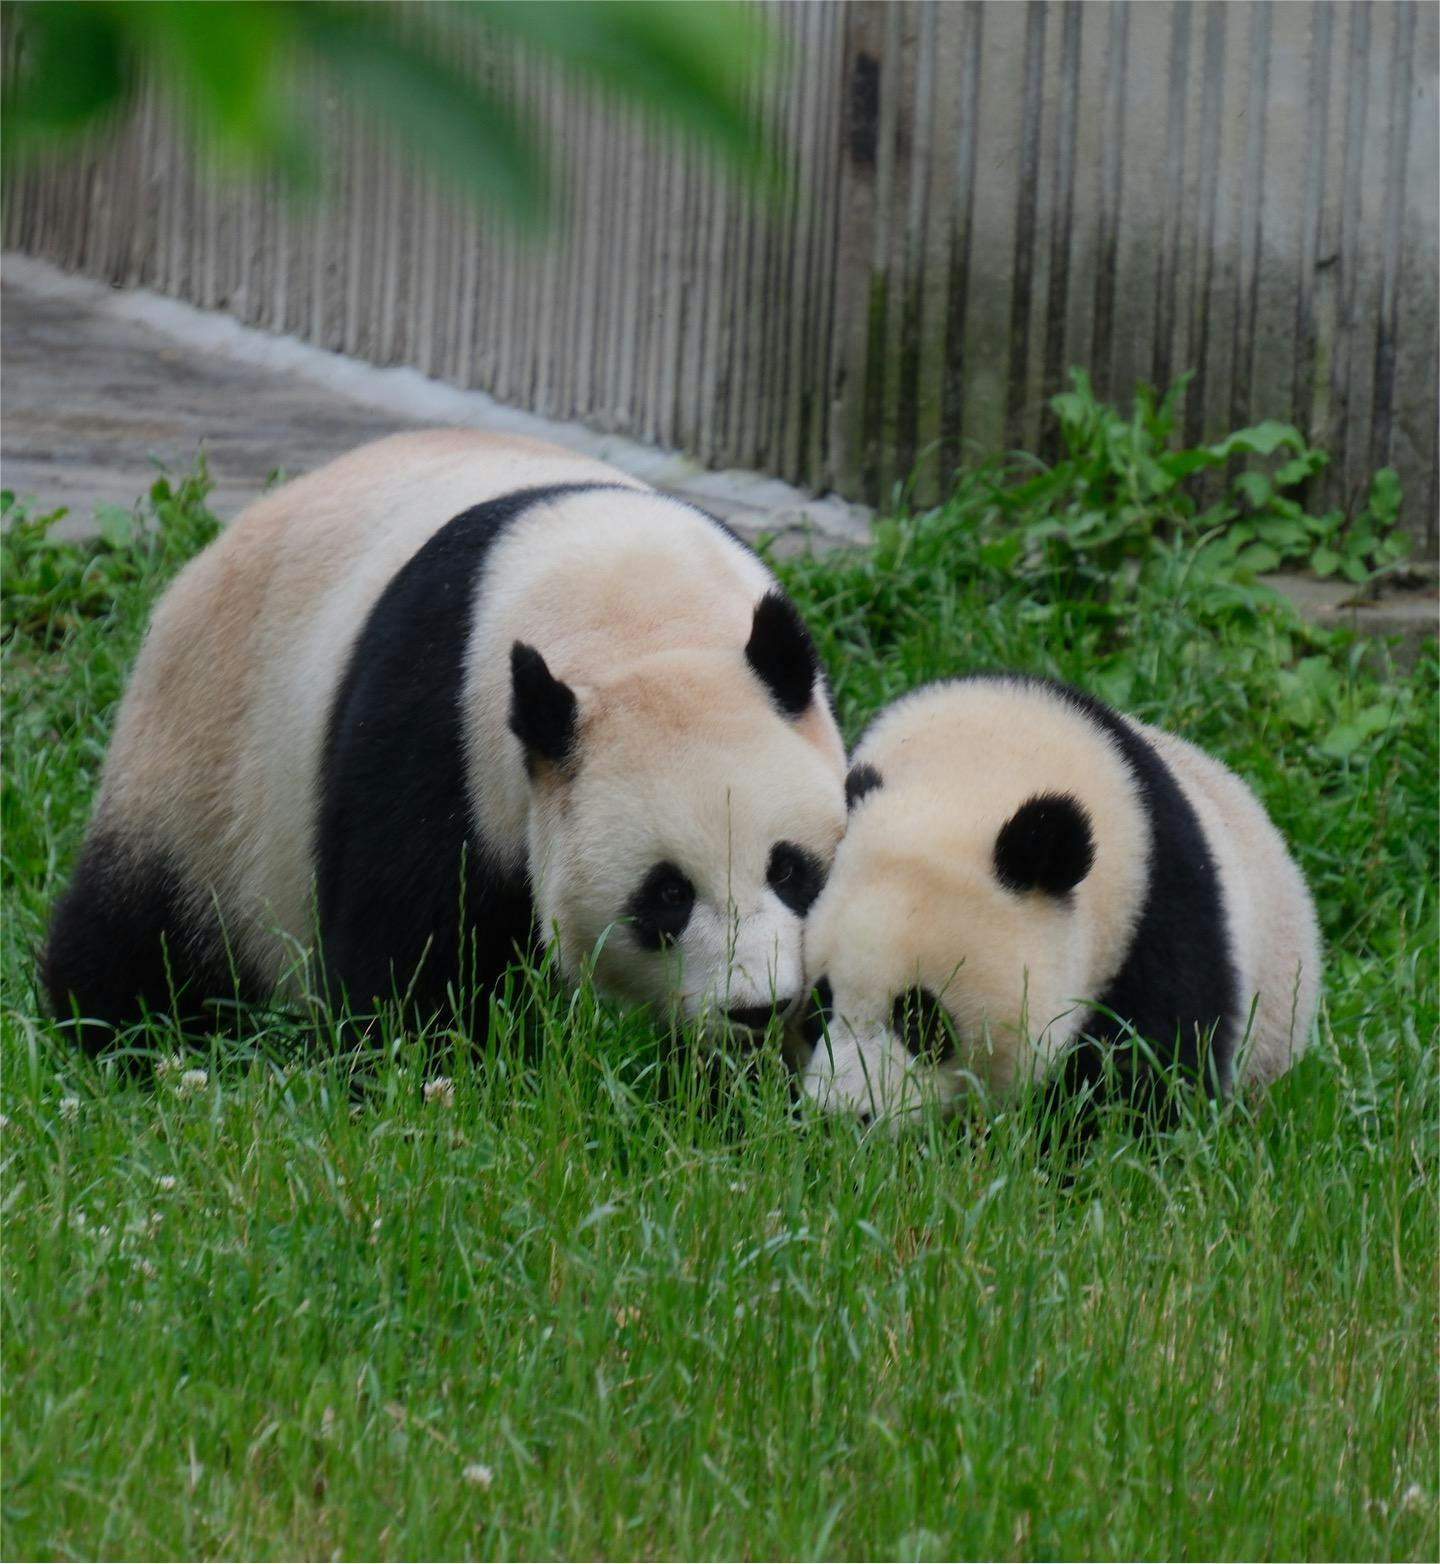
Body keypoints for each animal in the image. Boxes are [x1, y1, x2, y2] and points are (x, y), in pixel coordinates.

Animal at [44, 428, 850, 1051]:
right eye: (667, 894)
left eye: (791, 869)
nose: (758, 1008)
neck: (641, 619)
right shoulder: (439, 723)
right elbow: (406, 942)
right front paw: (426, 1069)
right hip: (206, 767)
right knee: (140, 933)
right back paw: (118, 1031)